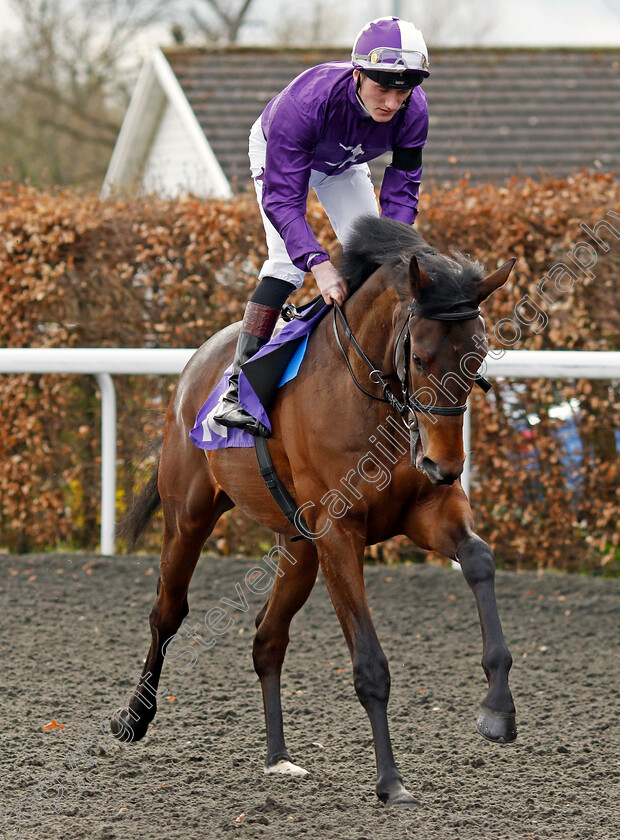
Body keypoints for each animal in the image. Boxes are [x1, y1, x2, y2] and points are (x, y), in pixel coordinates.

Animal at [112, 215, 520, 808]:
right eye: (419, 358)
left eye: (477, 358)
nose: (443, 464)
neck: (370, 397)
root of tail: (197, 364)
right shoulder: (338, 532)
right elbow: (370, 664)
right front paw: (391, 781)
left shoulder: (425, 509)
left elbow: (481, 560)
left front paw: (497, 708)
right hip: (188, 517)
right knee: (167, 614)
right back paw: (132, 718)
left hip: (298, 546)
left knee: (266, 638)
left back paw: (278, 756)